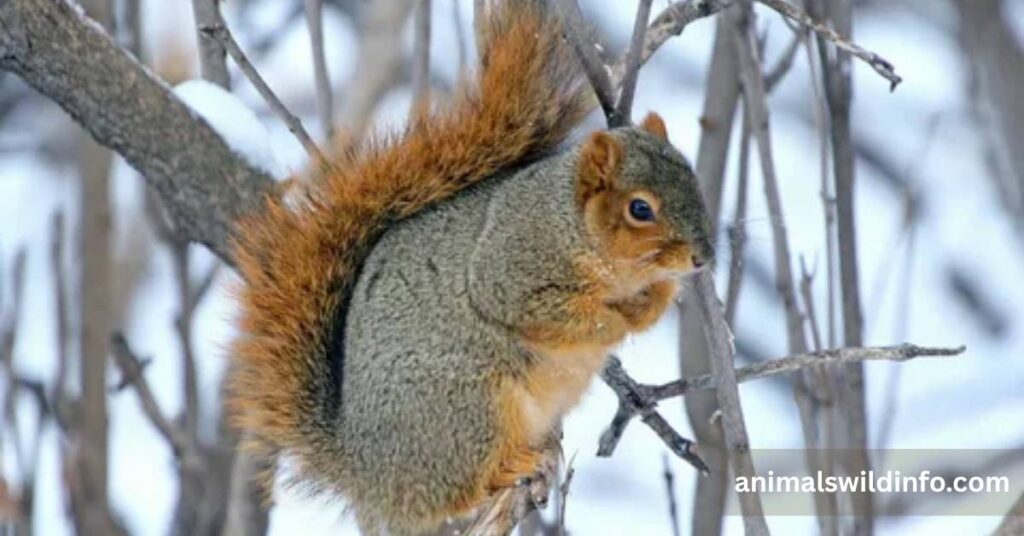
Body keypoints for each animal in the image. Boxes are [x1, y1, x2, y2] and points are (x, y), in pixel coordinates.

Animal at [229, 1, 713, 534]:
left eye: (694, 179)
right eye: (640, 209)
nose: (703, 258)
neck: (577, 229)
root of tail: (363, 471)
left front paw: (654, 302)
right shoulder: (510, 269)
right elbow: (548, 313)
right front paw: (612, 324)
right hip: (470, 408)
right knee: (456, 491)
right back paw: (510, 467)